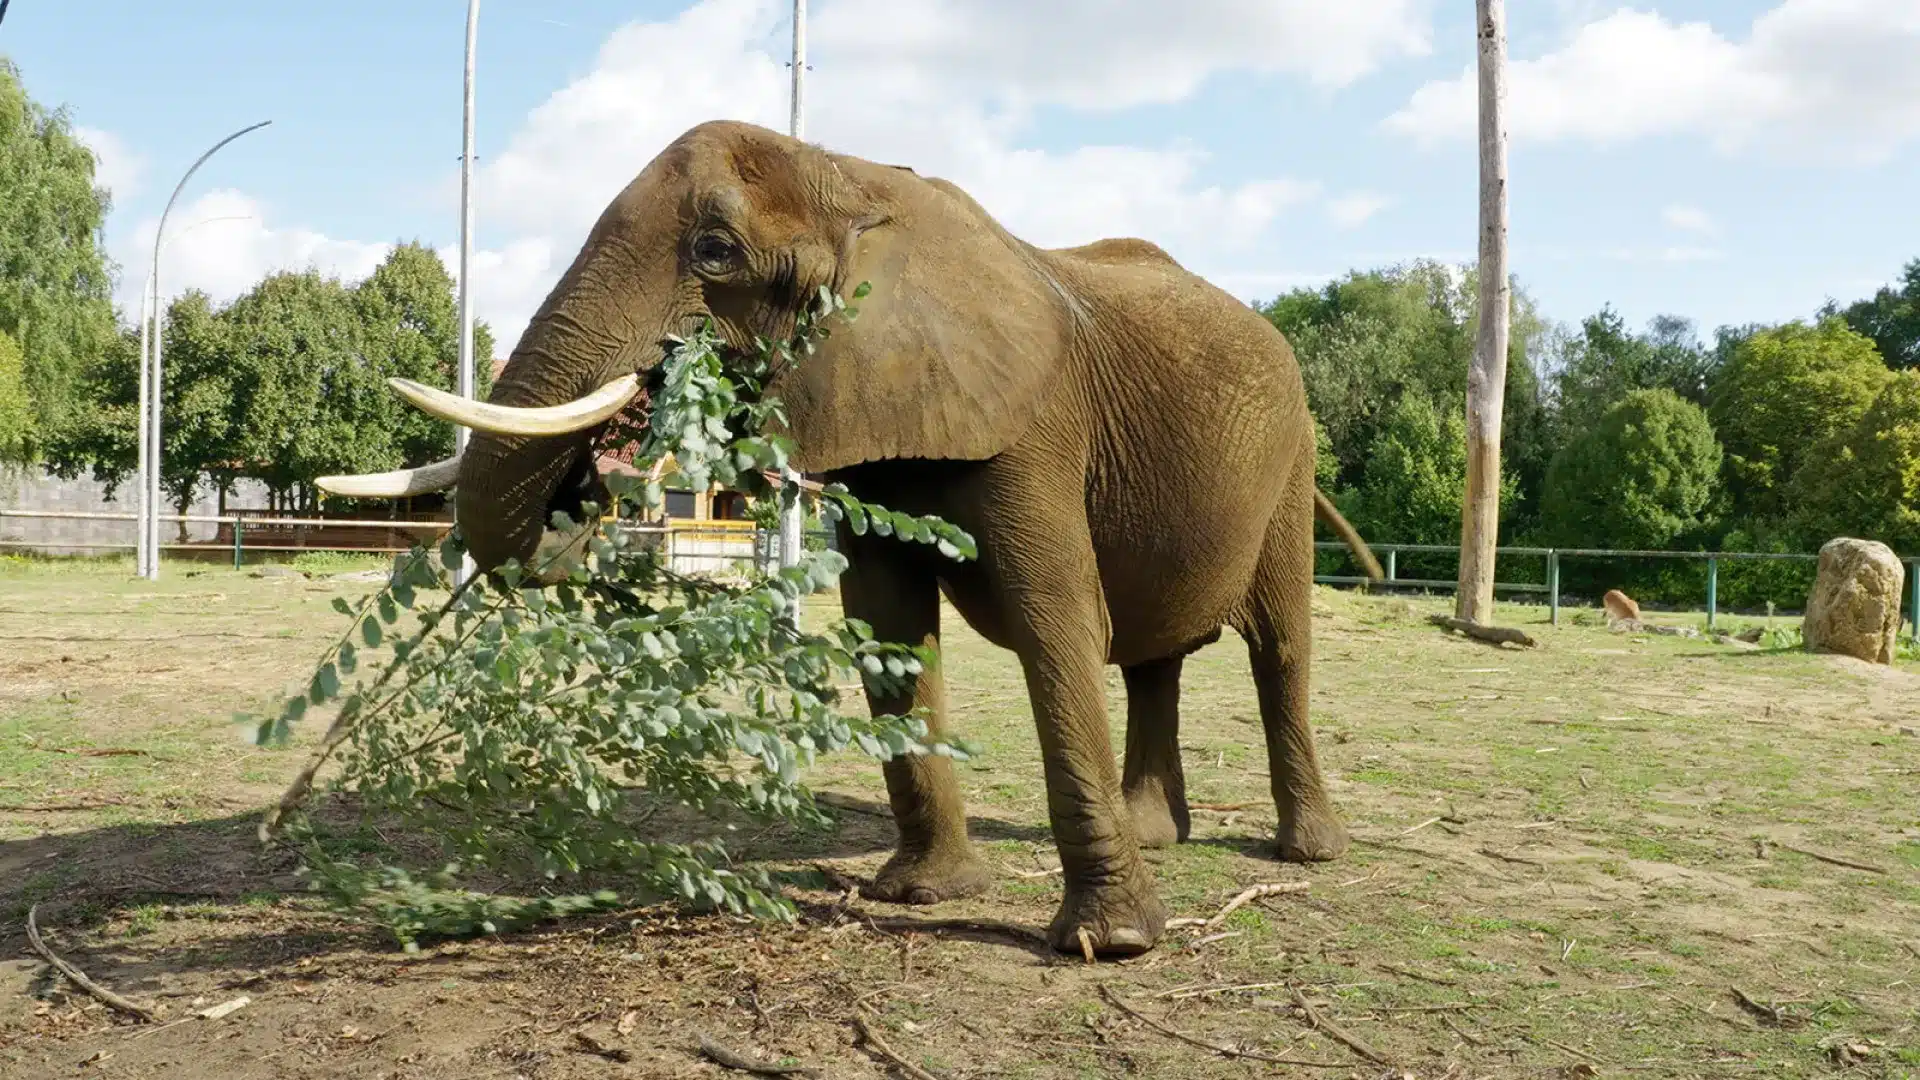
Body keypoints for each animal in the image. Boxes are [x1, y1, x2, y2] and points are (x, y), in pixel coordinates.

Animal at [316, 119, 1384, 956]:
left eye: (714, 251)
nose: (593, 477)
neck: (855, 174)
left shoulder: (1033, 424)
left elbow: (1053, 616)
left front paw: (1109, 944)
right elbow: (889, 624)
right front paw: (920, 895)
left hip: (1291, 463)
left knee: (1279, 647)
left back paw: (1307, 851)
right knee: (1154, 655)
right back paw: (1157, 831)